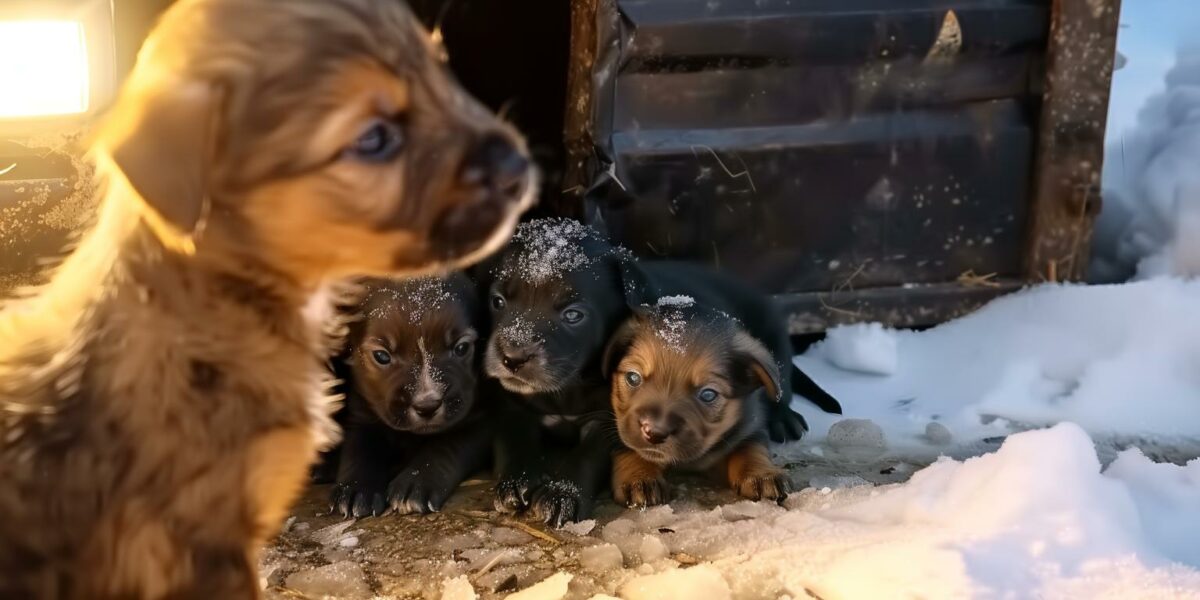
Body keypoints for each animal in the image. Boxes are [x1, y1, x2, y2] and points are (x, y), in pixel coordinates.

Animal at [326, 274, 489, 518]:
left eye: (461, 348)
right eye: (381, 356)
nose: (427, 405)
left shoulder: (479, 419)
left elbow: (444, 447)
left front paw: (416, 482)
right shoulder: (362, 413)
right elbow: (359, 450)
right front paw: (355, 488)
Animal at [604, 298, 792, 506]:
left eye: (708, 394)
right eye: (633, 378)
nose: (654, 433)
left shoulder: (751, 422)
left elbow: (751, 445)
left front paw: (761, 474)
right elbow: (626, 445)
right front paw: (639, 476)